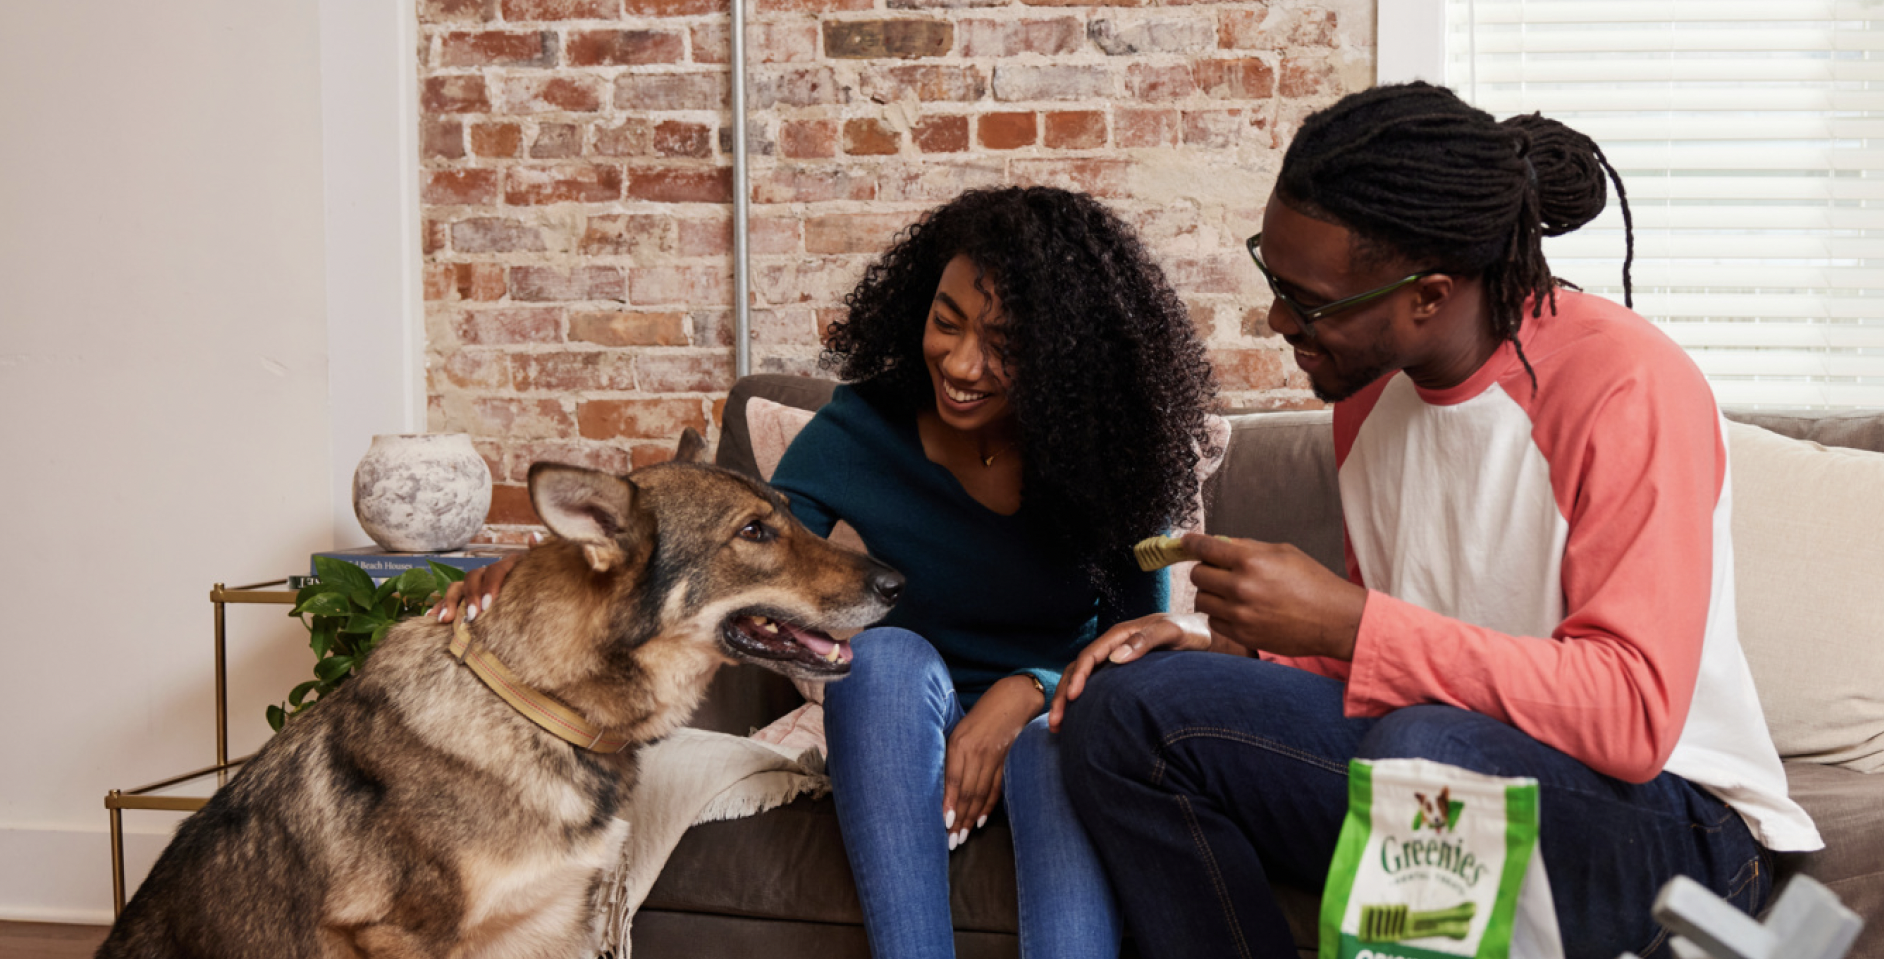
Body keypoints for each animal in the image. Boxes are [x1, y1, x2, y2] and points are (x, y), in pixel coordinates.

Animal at [95, 431, 904, 957]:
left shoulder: (558, 926)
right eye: (756, 531)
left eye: (787, 513)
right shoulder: (403, 938)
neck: (540, 705)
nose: (898, 582)